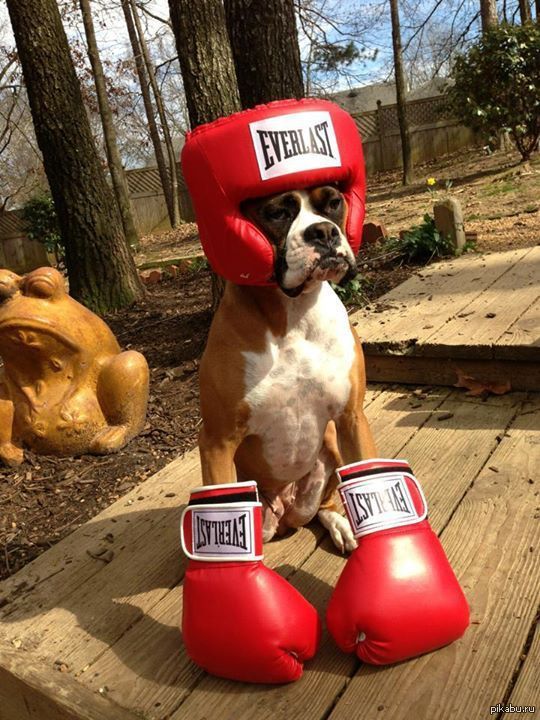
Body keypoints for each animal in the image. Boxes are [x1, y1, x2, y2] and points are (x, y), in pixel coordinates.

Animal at [197, 183, 376, 548]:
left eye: (333, 203)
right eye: (277, 212)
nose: (323, 231)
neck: (293, 315)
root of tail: (287, 512)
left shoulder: (352, 418)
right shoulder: (216, 443)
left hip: (333, 443)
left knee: (326, 503)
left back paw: (340, 523)